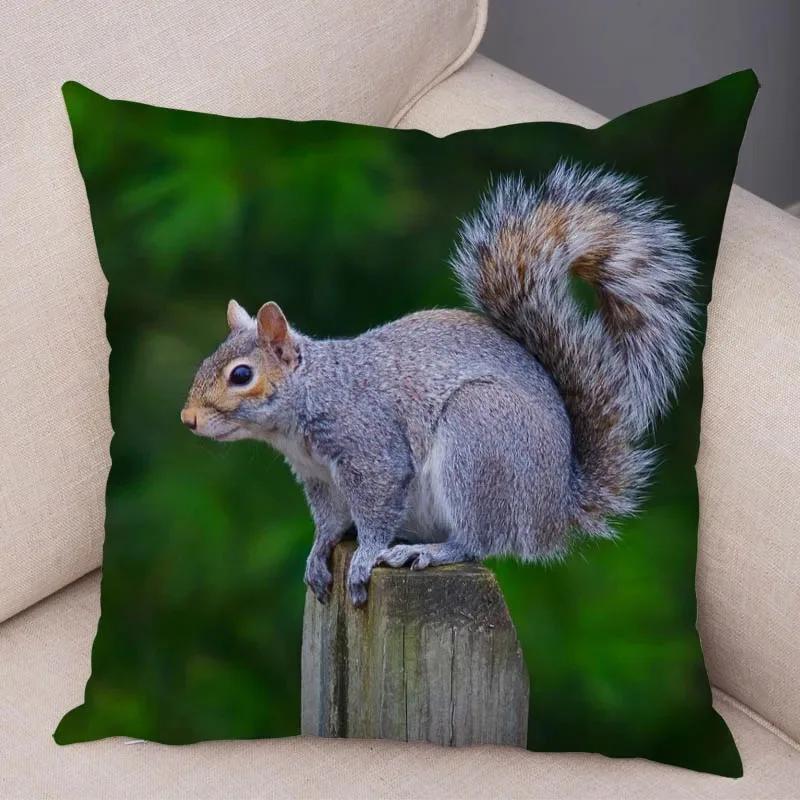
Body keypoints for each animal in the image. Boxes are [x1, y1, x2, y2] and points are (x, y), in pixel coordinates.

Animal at [181, 161, 697, 607]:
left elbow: (376, 508)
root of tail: (554, 509)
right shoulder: (318, 477)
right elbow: (329, 521)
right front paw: (317, 553)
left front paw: (365, 557)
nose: (187, 419)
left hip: (479, 440)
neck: (312, 397)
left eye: (241, 375)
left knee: (478, 540)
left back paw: (427, 551)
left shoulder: (371, 448)